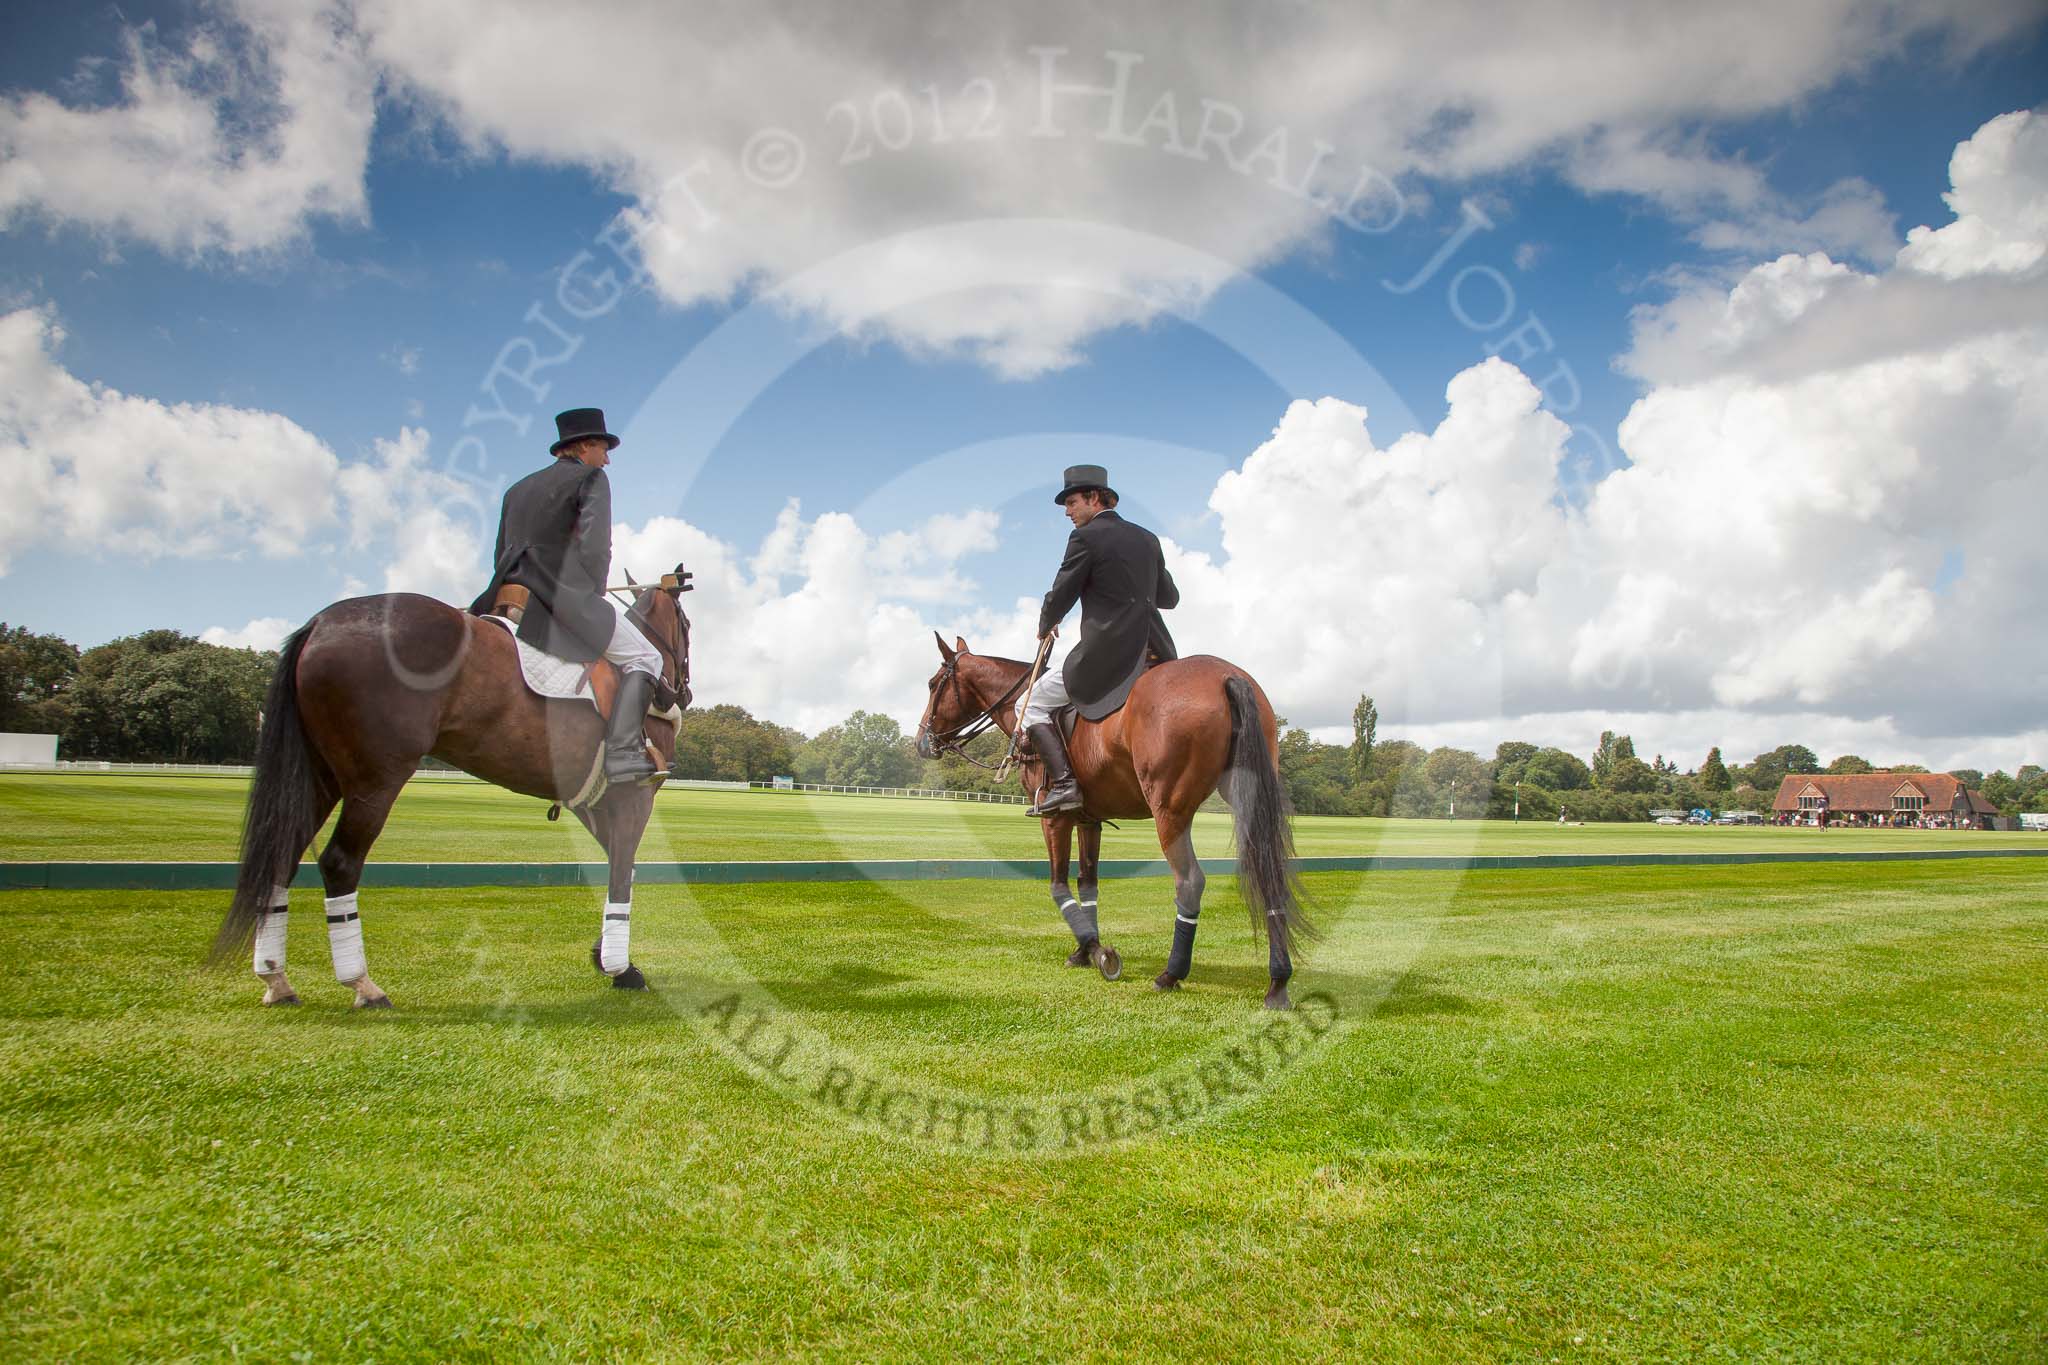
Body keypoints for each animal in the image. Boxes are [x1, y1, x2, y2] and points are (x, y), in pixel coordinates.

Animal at [208, 573, 692, 1010]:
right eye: (686, 625)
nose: (680, 693)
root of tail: (319, 624)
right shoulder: (633, 796)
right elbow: (622, 872)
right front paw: (621, 969)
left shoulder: (591, 802)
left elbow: (617, 866)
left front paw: (605, 956)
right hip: (376, 776)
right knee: (340, 862)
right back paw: (363, 985)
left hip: (317, 773)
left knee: (282, 855)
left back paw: (276, 979)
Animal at [917, 634, 1310, 1010]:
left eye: (934, 683)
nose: (922, 742)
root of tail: (1228, 675)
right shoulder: (1088, 819)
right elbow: (1087, 883)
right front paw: (1084, 951)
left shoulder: (1054, 818)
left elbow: (1057, 885)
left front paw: (1098, 951)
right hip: (1248, 798)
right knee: (1269, 873)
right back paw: (1278, 983)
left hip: (1169, 810)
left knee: (1189, 882)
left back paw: (1171, 974)